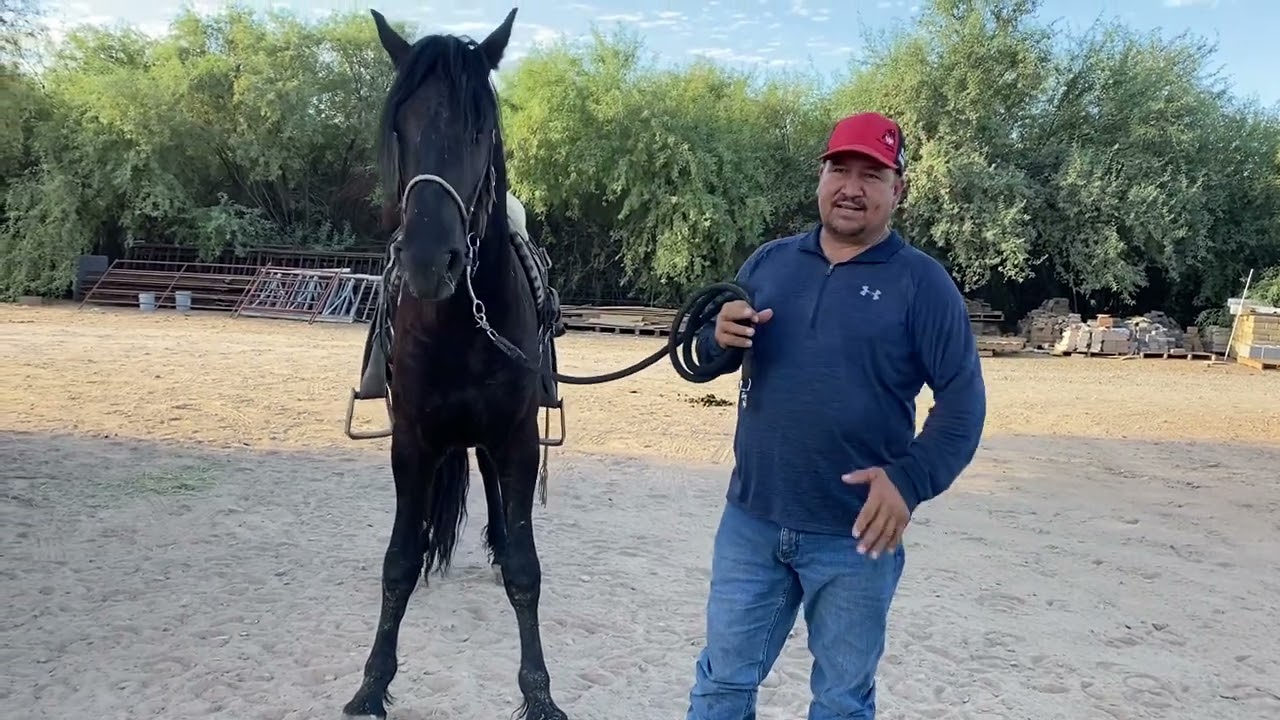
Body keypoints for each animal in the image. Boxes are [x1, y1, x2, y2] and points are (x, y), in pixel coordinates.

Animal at [342, 8, 568, 720]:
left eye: (480, 127)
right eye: (401, 125)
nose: (426, 260)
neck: (462, 326)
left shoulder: (516, 440)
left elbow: (526, 570)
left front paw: (539, 693)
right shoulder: (412, 442)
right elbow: (398, 562)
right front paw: (372, 685)